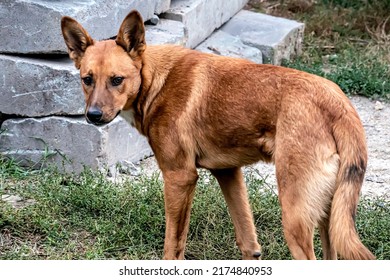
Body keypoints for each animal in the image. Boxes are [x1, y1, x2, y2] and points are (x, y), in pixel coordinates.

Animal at [61, 10, 374, 260]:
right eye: (87, 80)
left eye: (117, 80)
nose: (93, 116)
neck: (156, 80)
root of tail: (339, 103)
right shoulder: (228, 173)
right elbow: (248, 241)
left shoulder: (179, 177)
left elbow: (173, 246)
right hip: (327, 216)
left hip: (295, 215)